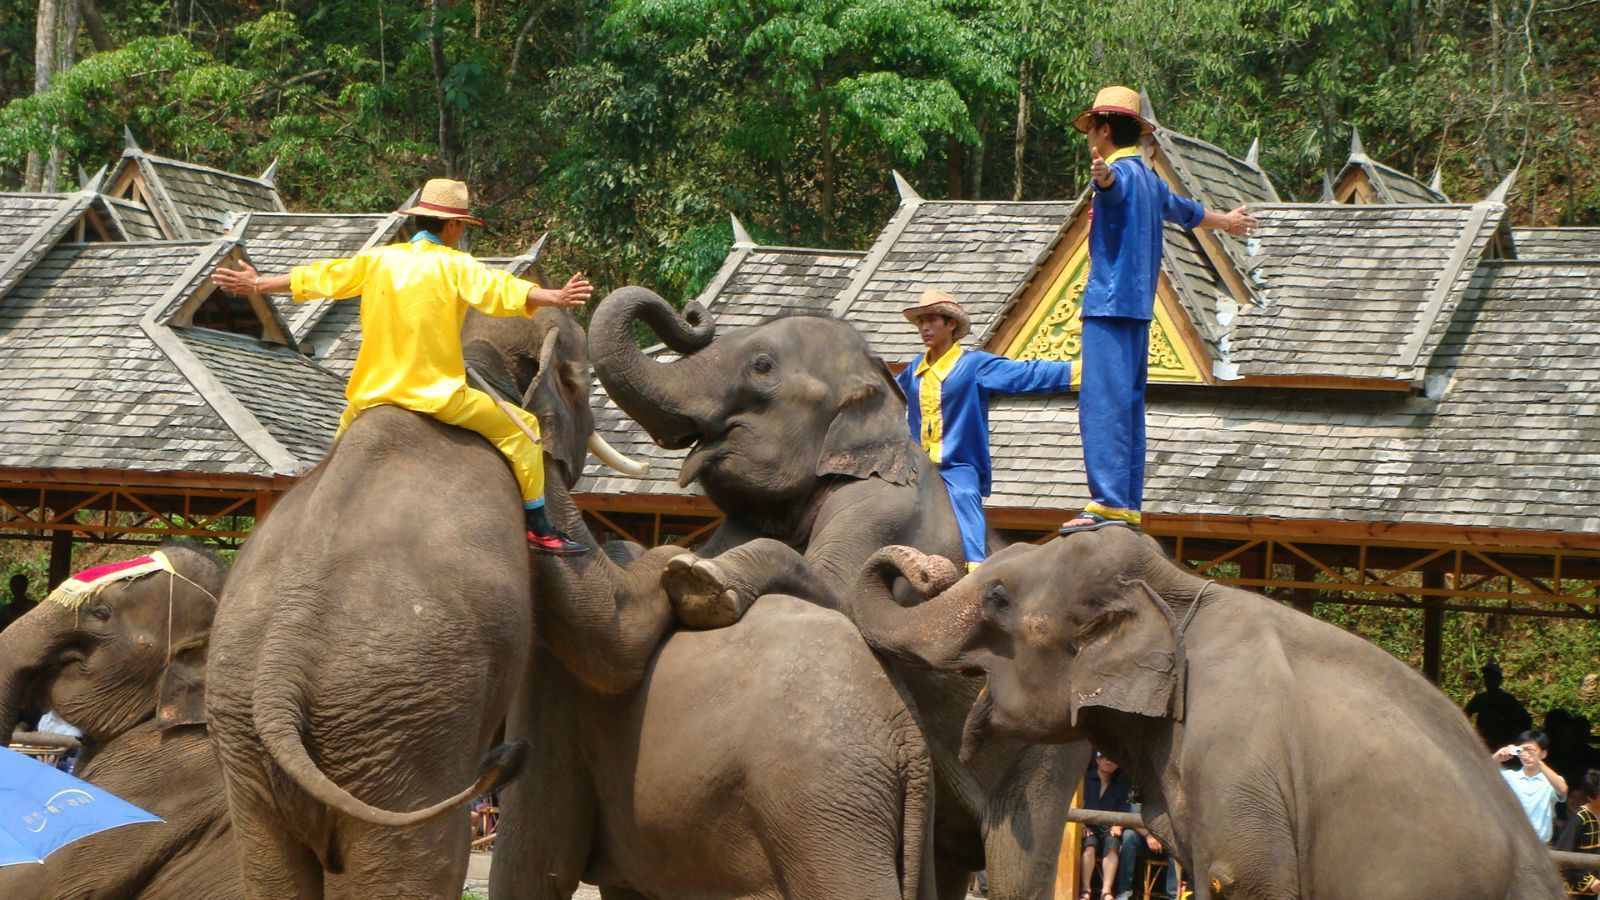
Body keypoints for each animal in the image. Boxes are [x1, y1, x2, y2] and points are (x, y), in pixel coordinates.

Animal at [206, 307, 643, 896]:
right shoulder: (529, 457)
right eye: (580, 380)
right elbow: (603, 629)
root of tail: (280, 674)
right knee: (425, 857)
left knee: (269, 866)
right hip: (399, 739)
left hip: (250, 750)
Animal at [588, 288, 1088, 896]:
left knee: (1019, 859)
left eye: (762, 366)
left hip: (1049, 755)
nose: (690, 310)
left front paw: (700, 585)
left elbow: (850, 600)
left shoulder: (882, 508)